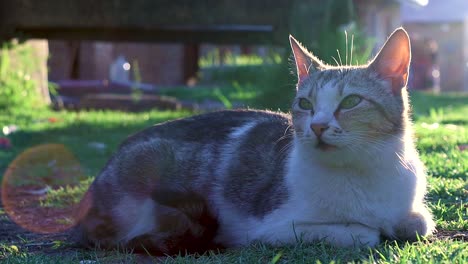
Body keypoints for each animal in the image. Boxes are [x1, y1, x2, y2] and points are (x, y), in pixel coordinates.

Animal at [73, 27, 436, 254]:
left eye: (350, 102)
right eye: (306, 104)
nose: (317, 126)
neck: (364, 169)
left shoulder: (411, 209)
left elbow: (419, 221)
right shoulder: (274, 228)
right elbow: (362, 232)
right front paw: (372, 229)